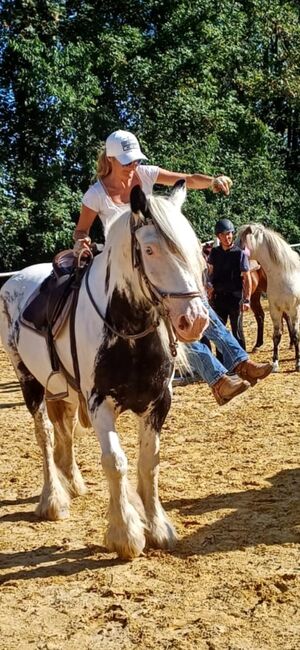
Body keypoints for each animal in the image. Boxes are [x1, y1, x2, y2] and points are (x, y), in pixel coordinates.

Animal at [0, 181, 210, 556]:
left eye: (192, 250)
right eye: (150, 250)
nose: (194, 319)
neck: (127, 332)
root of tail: (16, 280)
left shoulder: (159, 403)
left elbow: (148, 462)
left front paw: (158, 527)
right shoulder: (100, 404)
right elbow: (115, 462)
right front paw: (125, 534)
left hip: (62, 392)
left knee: (64, 430)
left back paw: (74, 482)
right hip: (28, 381)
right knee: (45, 435)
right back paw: (53, 500)